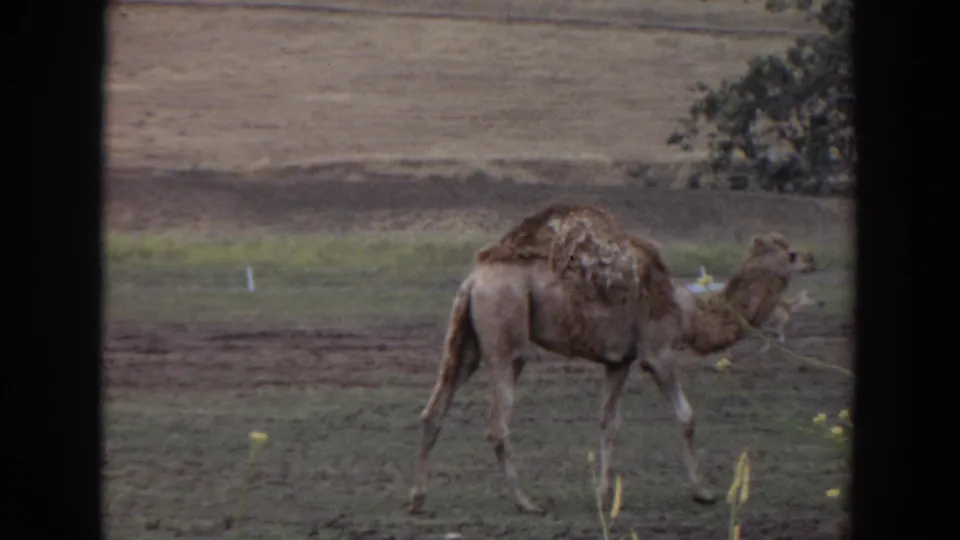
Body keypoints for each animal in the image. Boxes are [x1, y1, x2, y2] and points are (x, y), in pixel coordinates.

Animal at [409, 204, 816, 515]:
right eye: (791, 253)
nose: (812, 258)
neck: (685, 311)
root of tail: (474, 280)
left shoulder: (619, 361)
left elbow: (609, 423)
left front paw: (605, 498)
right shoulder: (658, 352)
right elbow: (686, 416)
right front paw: (703, 492)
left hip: (467, 339)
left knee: (434, 409)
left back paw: (418, 499)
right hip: (505, 334)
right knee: (497, 424)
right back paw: (525, 502)